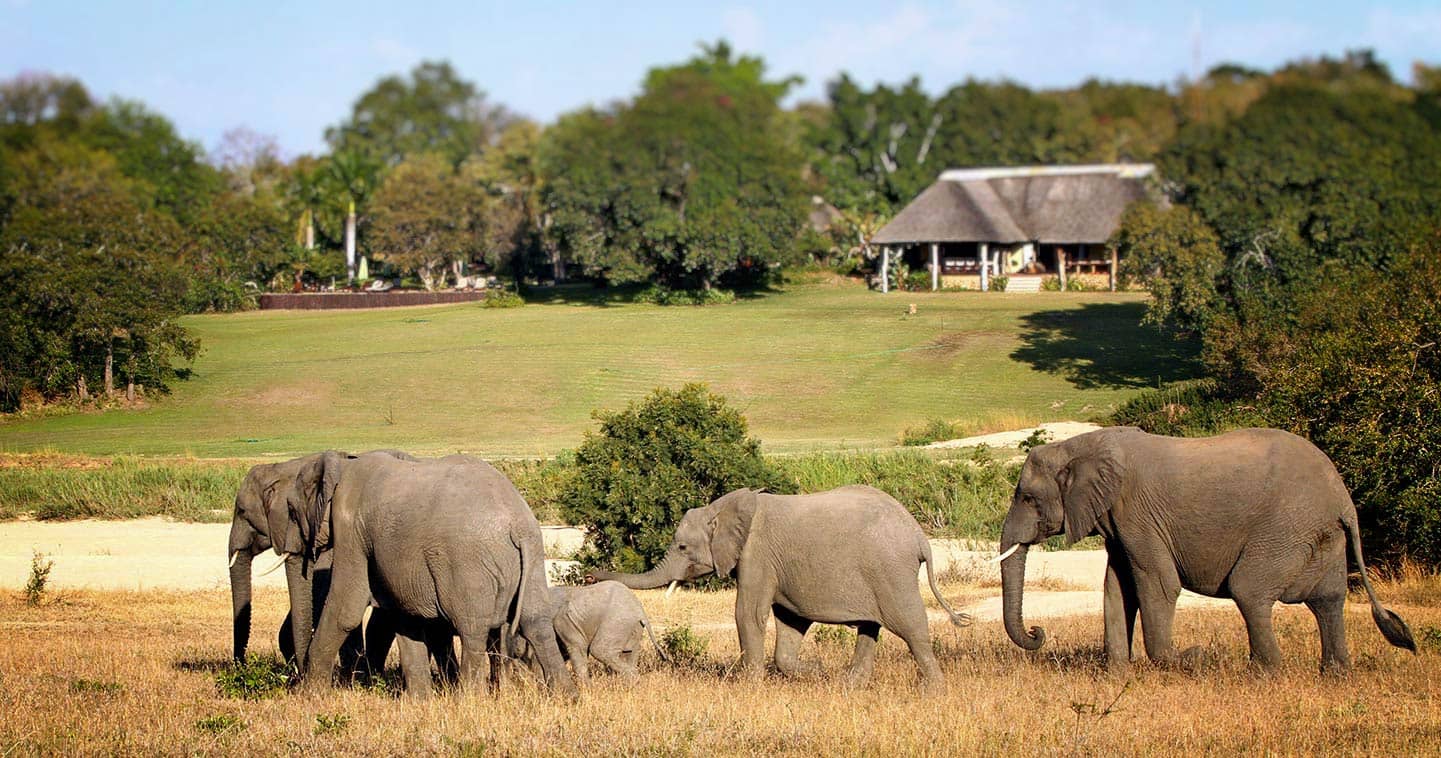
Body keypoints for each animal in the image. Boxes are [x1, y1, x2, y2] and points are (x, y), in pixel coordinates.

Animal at [272, 452, 576, 700]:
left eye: (291, 511)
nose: (295, 680)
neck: (344, 464)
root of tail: (517, 524)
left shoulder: (351, 530)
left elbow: (346, 610)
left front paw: (310, 698)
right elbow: (406, 618)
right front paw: (419, 701)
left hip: (466, 563)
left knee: (472, 628)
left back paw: (467, 701)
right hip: (532, 556)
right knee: (535, 621)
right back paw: (565, 697)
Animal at [518, 582, 668, 688]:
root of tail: (641, 611)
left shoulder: (565, 622)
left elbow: (577, 650)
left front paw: (587, 691)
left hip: (616, 622)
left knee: (601, 650)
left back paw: (633, 683)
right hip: (632, 628)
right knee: (629, 654)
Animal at [585, 489, 968, 691]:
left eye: (682, 547)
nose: (588, 577)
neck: (723, 507)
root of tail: (919, 536)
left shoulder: (757, 555)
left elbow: (749, 613)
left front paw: (747, 687)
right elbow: (790, 620)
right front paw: (816, 671)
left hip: (891, 571)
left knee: (910, 627)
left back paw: (935, 692)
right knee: (869, 628)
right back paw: (848, 685)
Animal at [997, 432, 1412, 674]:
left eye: (1027, 498)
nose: (1037, 631)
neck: (1079, 445)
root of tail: (1344, 498)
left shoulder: (1138, 514)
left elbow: (1157, 586)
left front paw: (1188, 659)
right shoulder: (1118, 519)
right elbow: (1117, 588)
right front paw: (1117, 674)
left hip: (1287, 529)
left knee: (1249, 590)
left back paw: (1264, 675)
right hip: (1322, 535)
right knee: (1328, 599)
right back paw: (1335, 675)